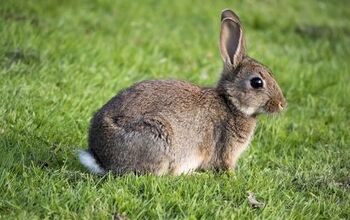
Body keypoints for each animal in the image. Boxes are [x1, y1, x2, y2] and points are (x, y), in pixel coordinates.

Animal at [79, 9, 288, 176]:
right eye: (257, 82)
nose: (282, 104)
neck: (231, 103)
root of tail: (101, 157)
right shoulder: (224, 147)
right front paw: (234, 177)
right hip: (158, 139)